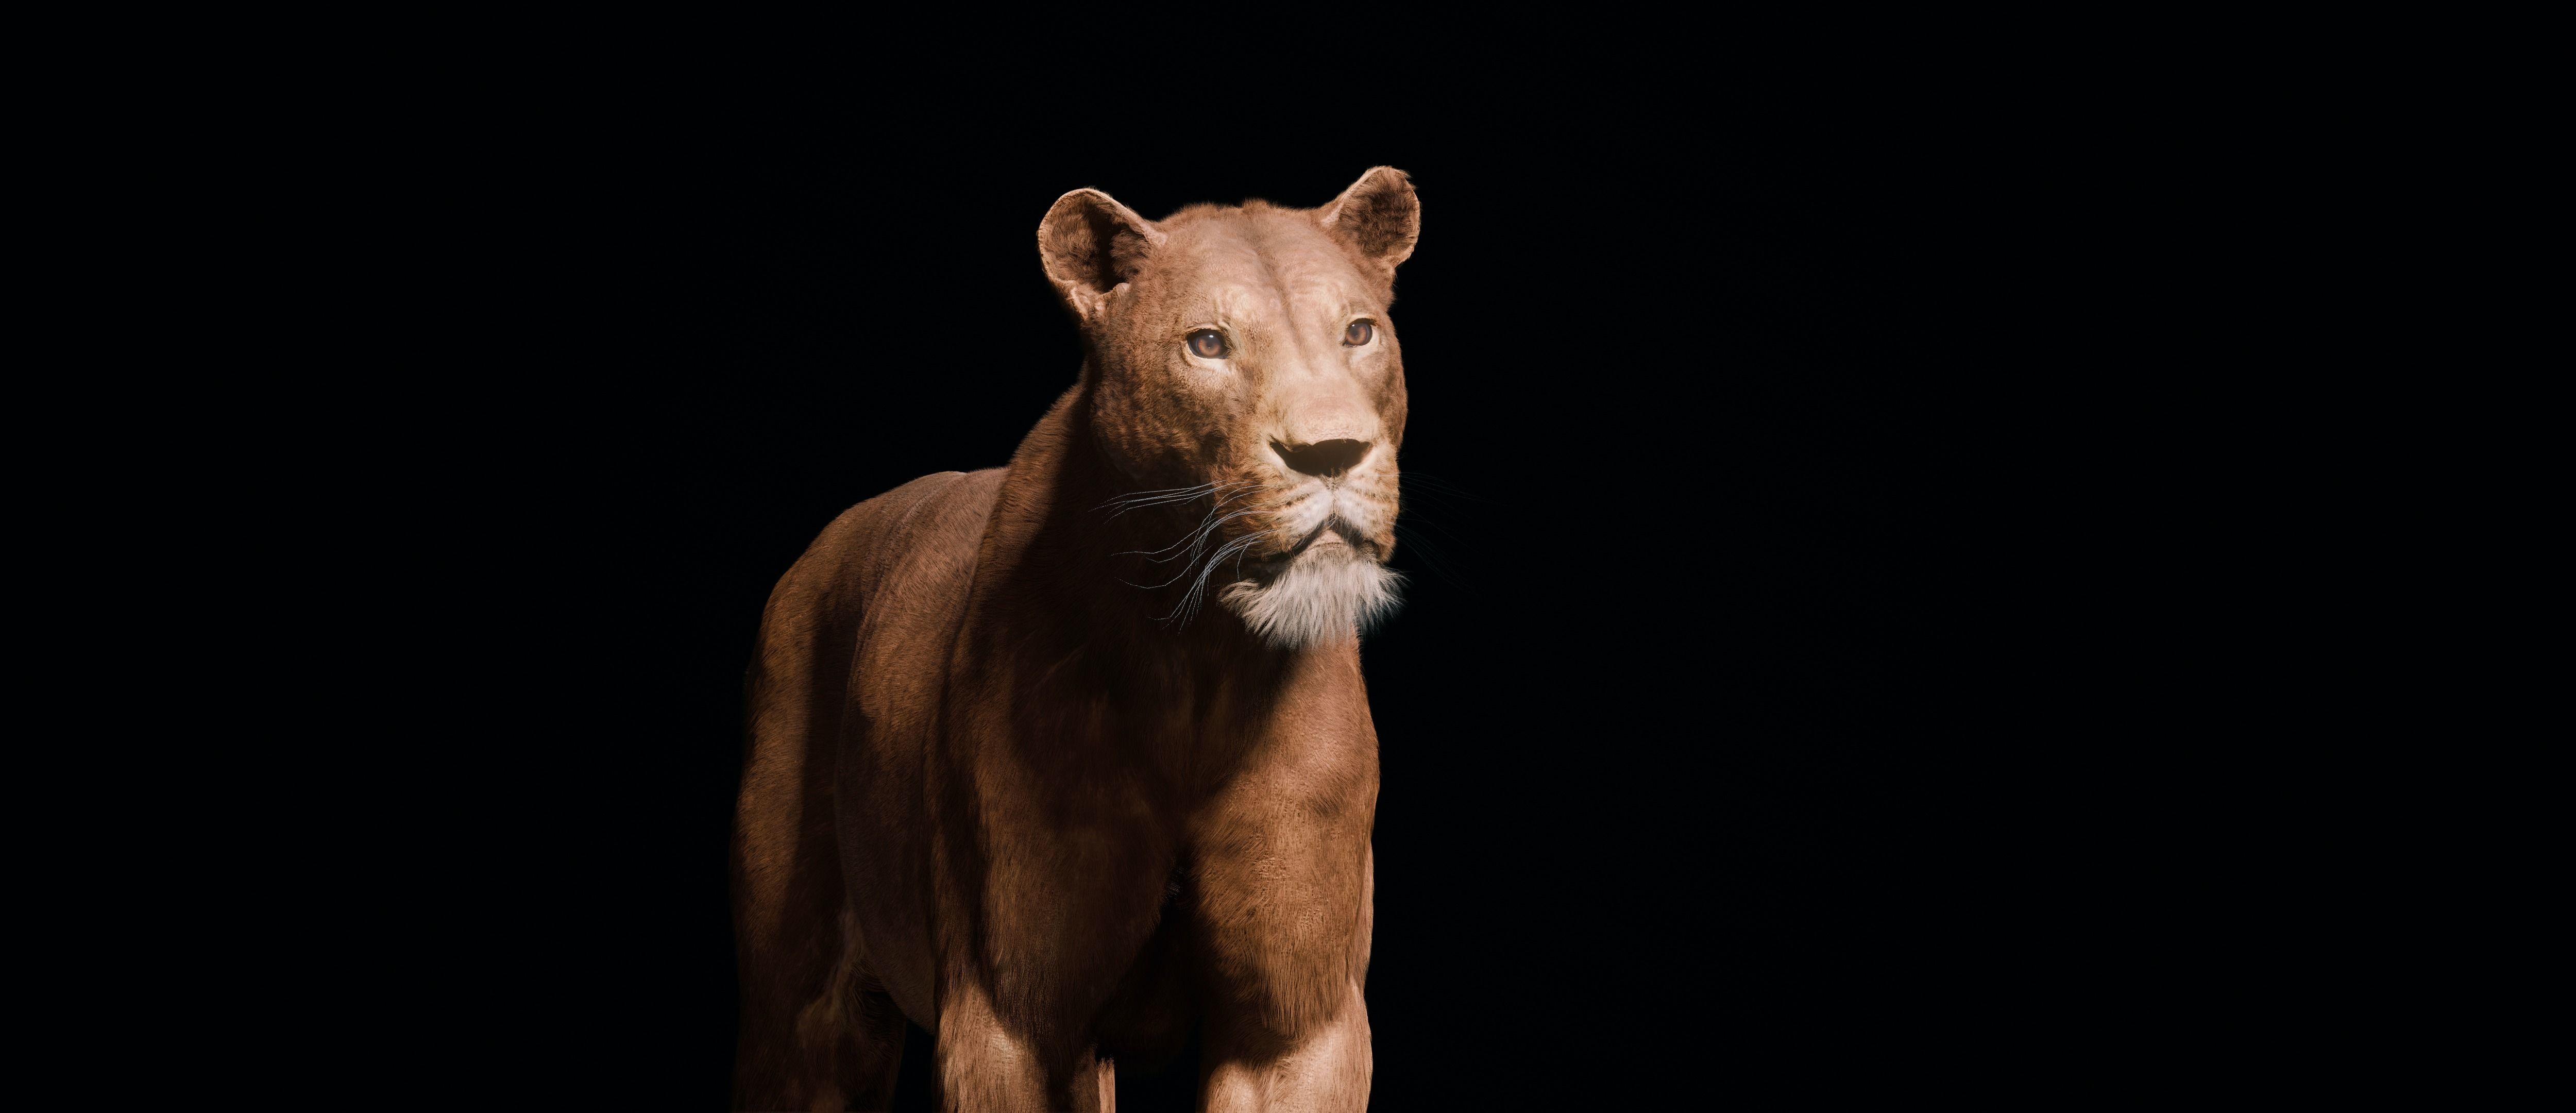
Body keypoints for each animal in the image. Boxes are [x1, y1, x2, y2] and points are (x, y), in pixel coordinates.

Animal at [731, 167, 1420, 1112]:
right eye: (1208, 343)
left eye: (1359, 332)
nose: (1332, 454)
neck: (1200, 659)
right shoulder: (1009, 1021)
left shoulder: (1296, 1031)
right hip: (804, 1017)